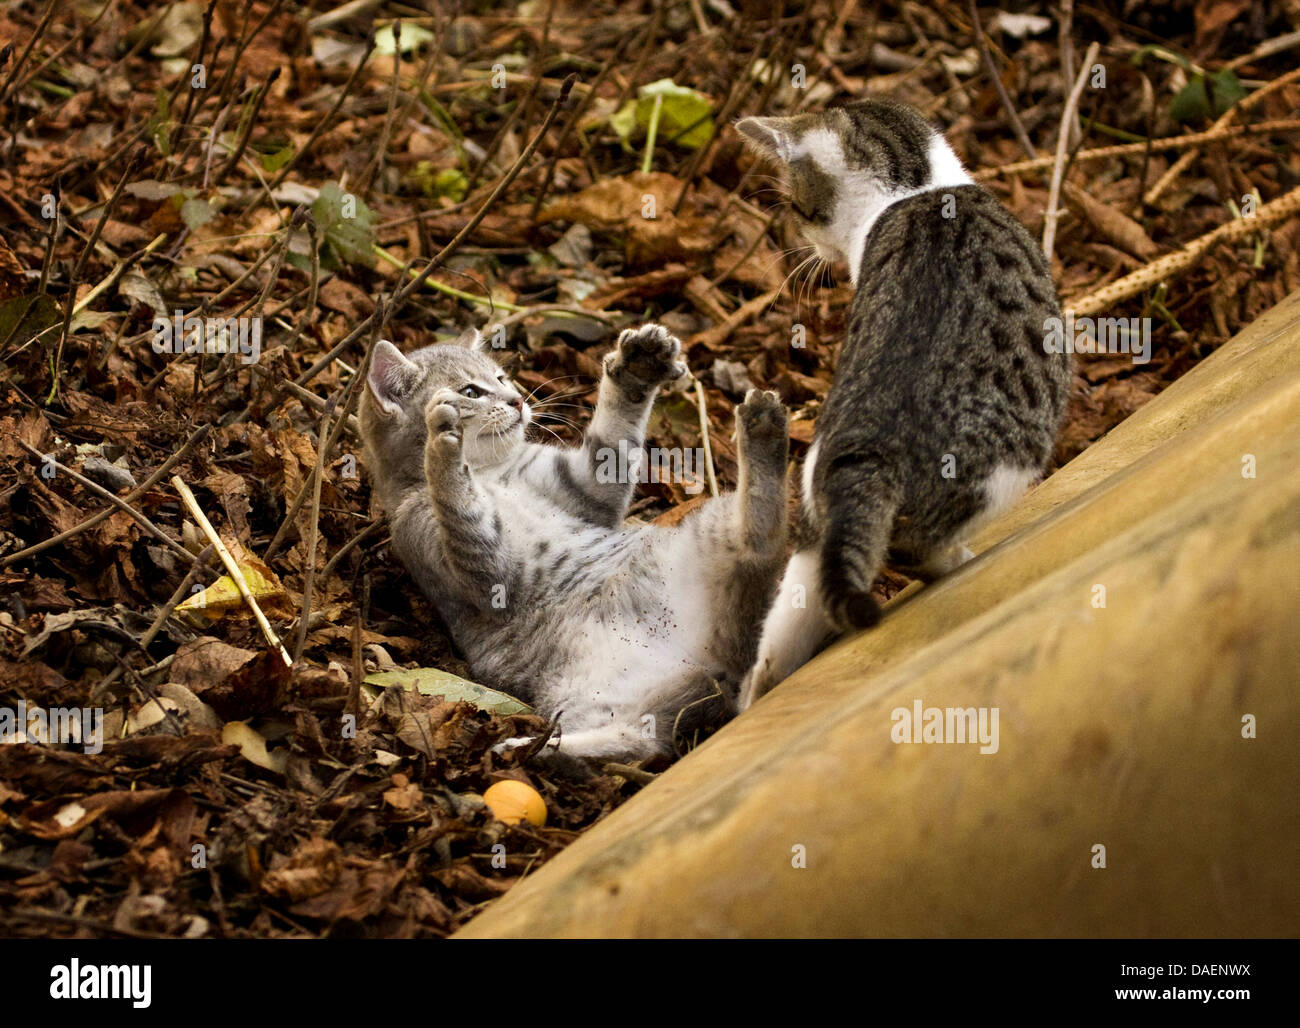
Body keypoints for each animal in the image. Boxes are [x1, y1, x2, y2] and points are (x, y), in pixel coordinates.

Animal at [356, 326, 785, 758]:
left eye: (501, 378)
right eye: (471, 391)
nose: (517, 400)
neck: (490, 471)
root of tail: (712, 661)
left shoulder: (587, 490)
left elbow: (613, 442)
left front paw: (637, 369)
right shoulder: (470, 562)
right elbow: (462, 506)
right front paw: (442, 445)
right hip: (600, 691)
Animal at [738, 96, 1071, 706]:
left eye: (797, 207)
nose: (806, 245)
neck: (910, 190)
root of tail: (866, 449)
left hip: (818, 517)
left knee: (783, 634)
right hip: (998, 468)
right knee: (915, 546)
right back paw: (960, 560)